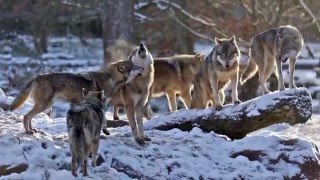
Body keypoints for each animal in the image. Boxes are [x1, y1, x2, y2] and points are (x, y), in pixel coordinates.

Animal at [9, 60, 144, 134]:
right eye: (134, 66)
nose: (143, 68)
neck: (110, 80)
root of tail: (35, 77)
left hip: (45, 106)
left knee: (29, 117)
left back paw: (32, 130)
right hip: (44, 105)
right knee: (26, 116)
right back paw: (28, 131)